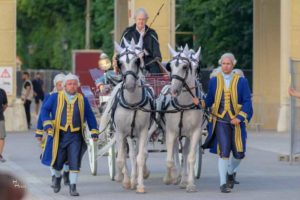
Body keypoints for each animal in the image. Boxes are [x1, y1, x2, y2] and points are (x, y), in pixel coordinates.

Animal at [162, 44, 204, 192]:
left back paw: (183, 179)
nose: (174, 90)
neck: (184, 104)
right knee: (175, 151)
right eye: (170, 66)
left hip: (186, 135)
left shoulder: (195, 132)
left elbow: (190, 157)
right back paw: (177, 177)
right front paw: (169, 178)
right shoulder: (170, 132)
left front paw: (190, 183)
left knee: (184, 153)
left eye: (185, 67)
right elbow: (169, 158)